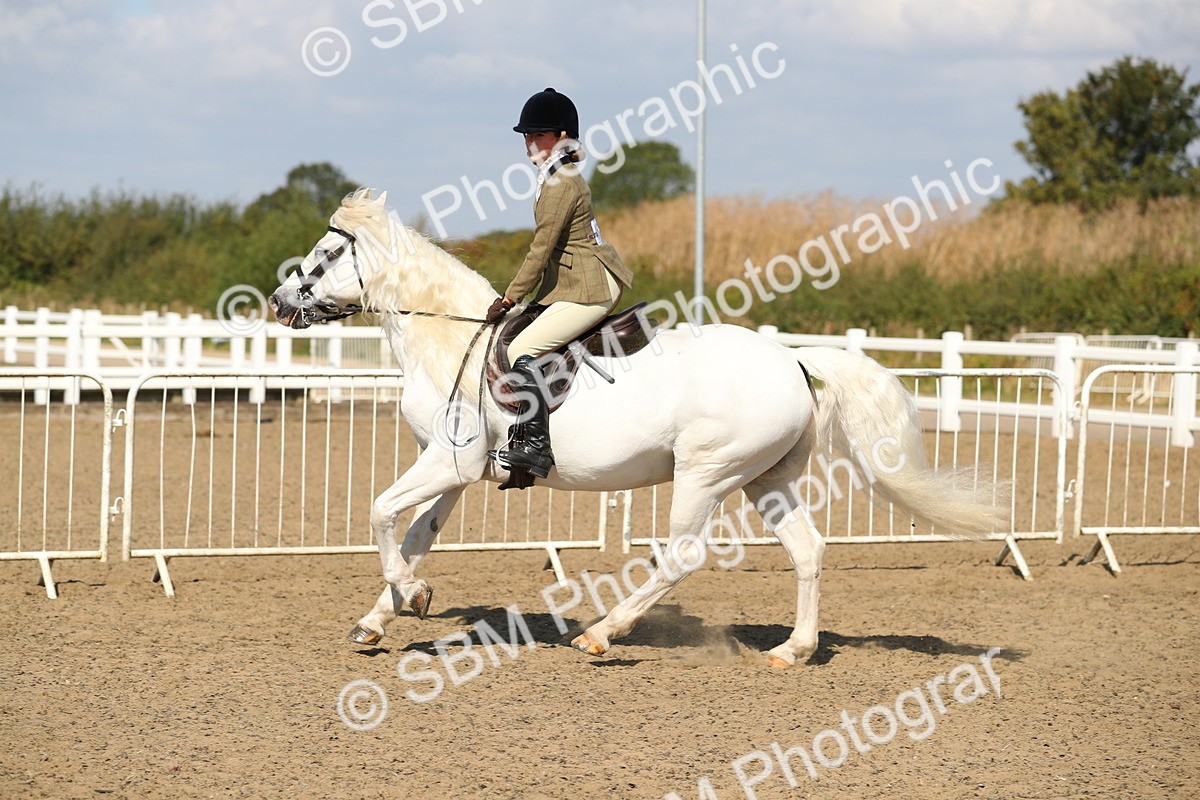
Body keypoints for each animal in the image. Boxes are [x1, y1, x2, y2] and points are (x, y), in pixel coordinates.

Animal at [268, 189, 1003, 668]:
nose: (277, 302)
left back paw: (600, 634)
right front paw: (381, 615)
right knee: (808, 550)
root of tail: (792, 358)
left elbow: (380, 512)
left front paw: (411, 595)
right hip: (765, 478)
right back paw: (792, 650)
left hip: (706, 473)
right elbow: (416, 534)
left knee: (682, 556)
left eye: (326, 253)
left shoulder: (449, 465)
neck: (451, 341)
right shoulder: (454, 469)